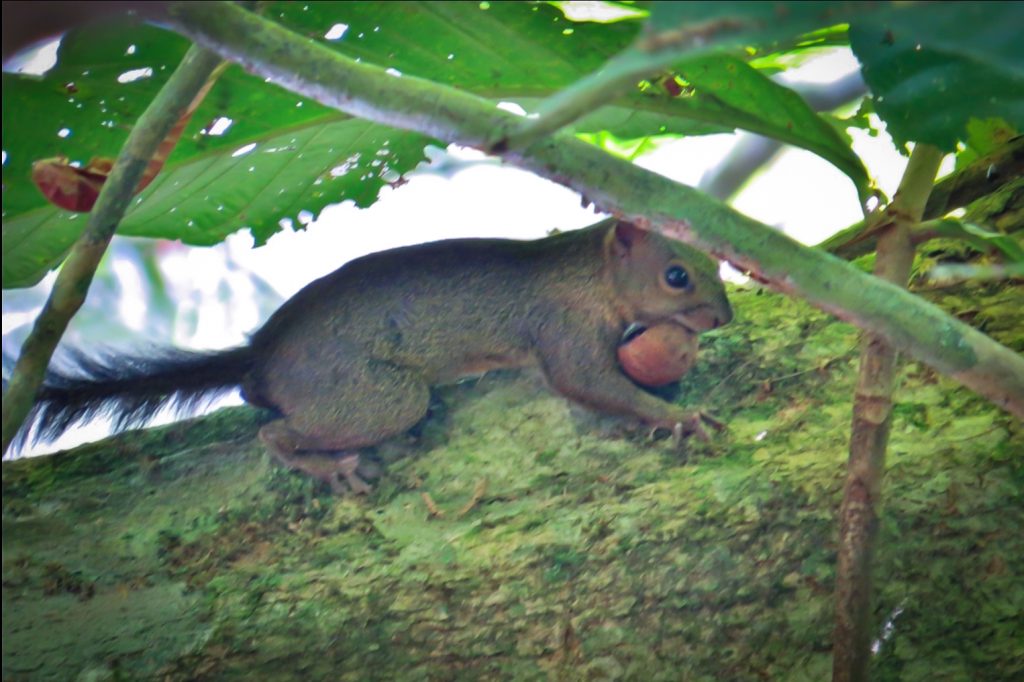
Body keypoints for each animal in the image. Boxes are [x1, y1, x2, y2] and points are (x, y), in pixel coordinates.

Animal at [12, 219, 732, 492]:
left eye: (718, 260)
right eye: (676, 276)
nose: (723, 316)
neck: (587, 274)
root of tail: (258, 358)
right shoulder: (560, 328)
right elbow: (587, 382)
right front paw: (681, 419)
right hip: (376, 396)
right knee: (276, 430)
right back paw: (326, 466)